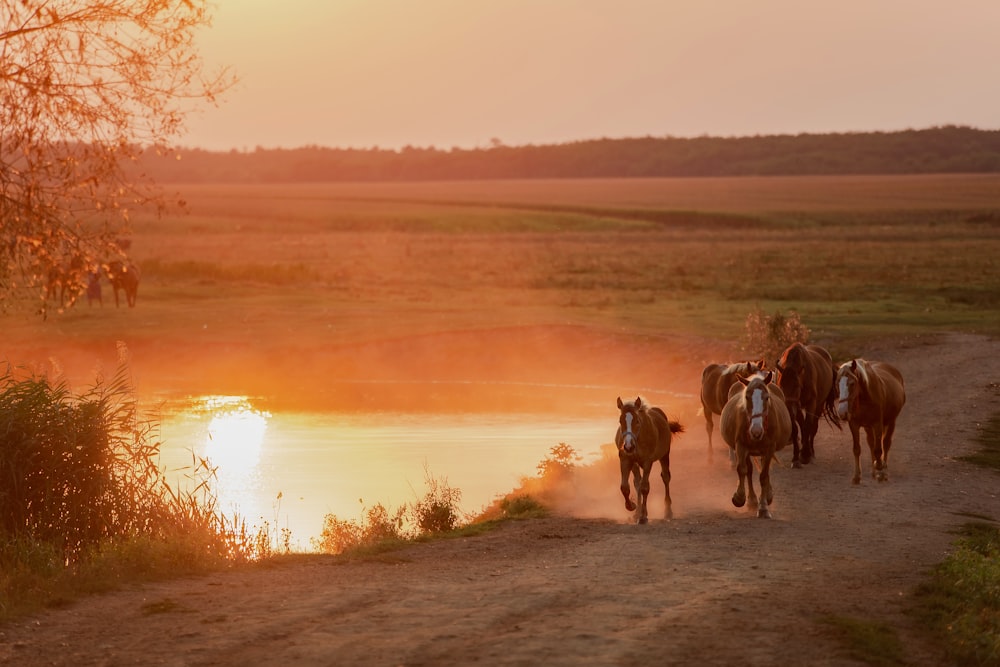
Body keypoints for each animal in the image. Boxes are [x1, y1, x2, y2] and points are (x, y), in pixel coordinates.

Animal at [612, 396, 684, 528]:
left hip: (665, 456)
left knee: (665, 477)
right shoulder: (626, 460)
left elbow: (645, 488)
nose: (628, 446)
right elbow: (625, 487)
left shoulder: (647, 462)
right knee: (637, 482)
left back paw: (668, 512)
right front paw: (632, 506)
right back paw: (636, 512)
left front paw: (643, 517)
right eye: (620, 421)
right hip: (635, 465)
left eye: (637, 421)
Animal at [724, 374, 792, 520]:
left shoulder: (769, 448)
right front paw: (739, 497)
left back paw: (766, 495)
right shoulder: (741, 445)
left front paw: (763, 507)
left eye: (766, 397)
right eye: (747, 397)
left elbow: (764, 476)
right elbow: (742, 470)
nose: (756, 431)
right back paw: (752, 500)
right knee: (749, 471)